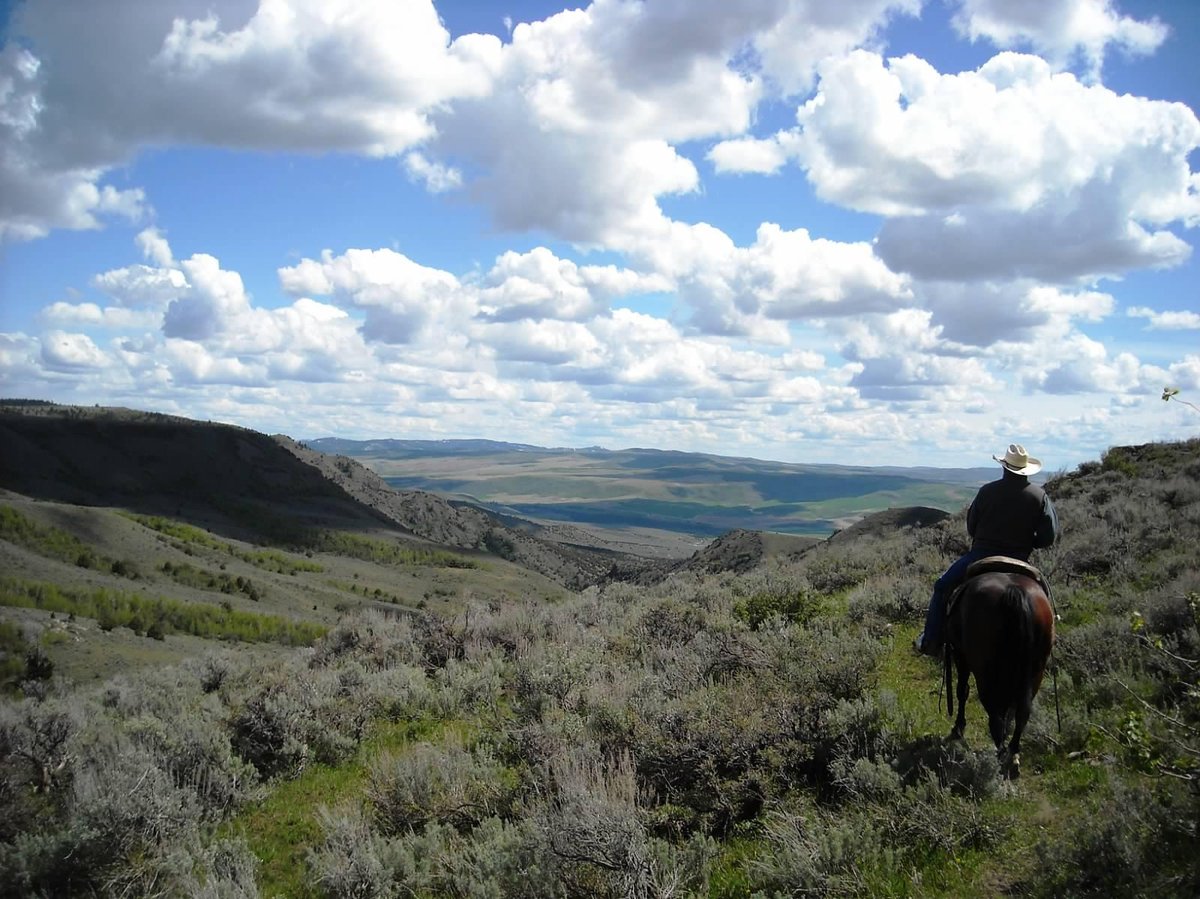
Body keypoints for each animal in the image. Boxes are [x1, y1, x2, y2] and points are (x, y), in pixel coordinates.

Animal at [940, 564, 1056, 772]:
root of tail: (1015, 592)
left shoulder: (961, 656)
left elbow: (962, 691)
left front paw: (958, 728)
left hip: (984, 672)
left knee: (995, 714)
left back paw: (999, 757)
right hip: (1036, 671)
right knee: (1022, 710)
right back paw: (1012, 754)